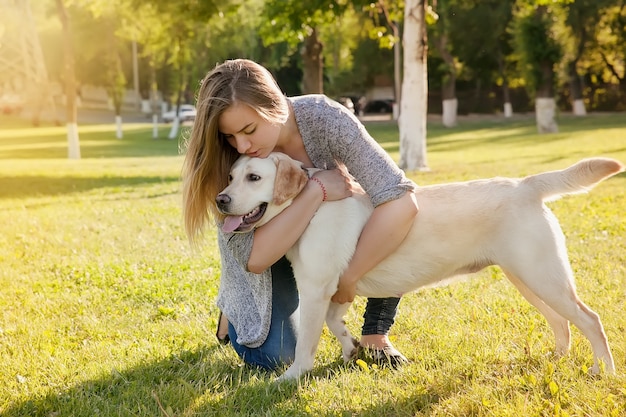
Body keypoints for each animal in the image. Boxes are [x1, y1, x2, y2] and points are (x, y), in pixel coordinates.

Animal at [214, 154, 620, 380]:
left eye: (254, 178)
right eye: (231, 176)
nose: (220, 199)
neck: (308, 209)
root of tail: (524, 184)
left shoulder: (316, 289)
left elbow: (307, 344)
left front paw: (293, 377)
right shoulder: (336, 288)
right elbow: (334, 322)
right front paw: (350, 348)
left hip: (544, 278)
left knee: (590, 320)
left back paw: (605, 372)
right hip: (528, 280)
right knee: (561, 322)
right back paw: (557, 359)